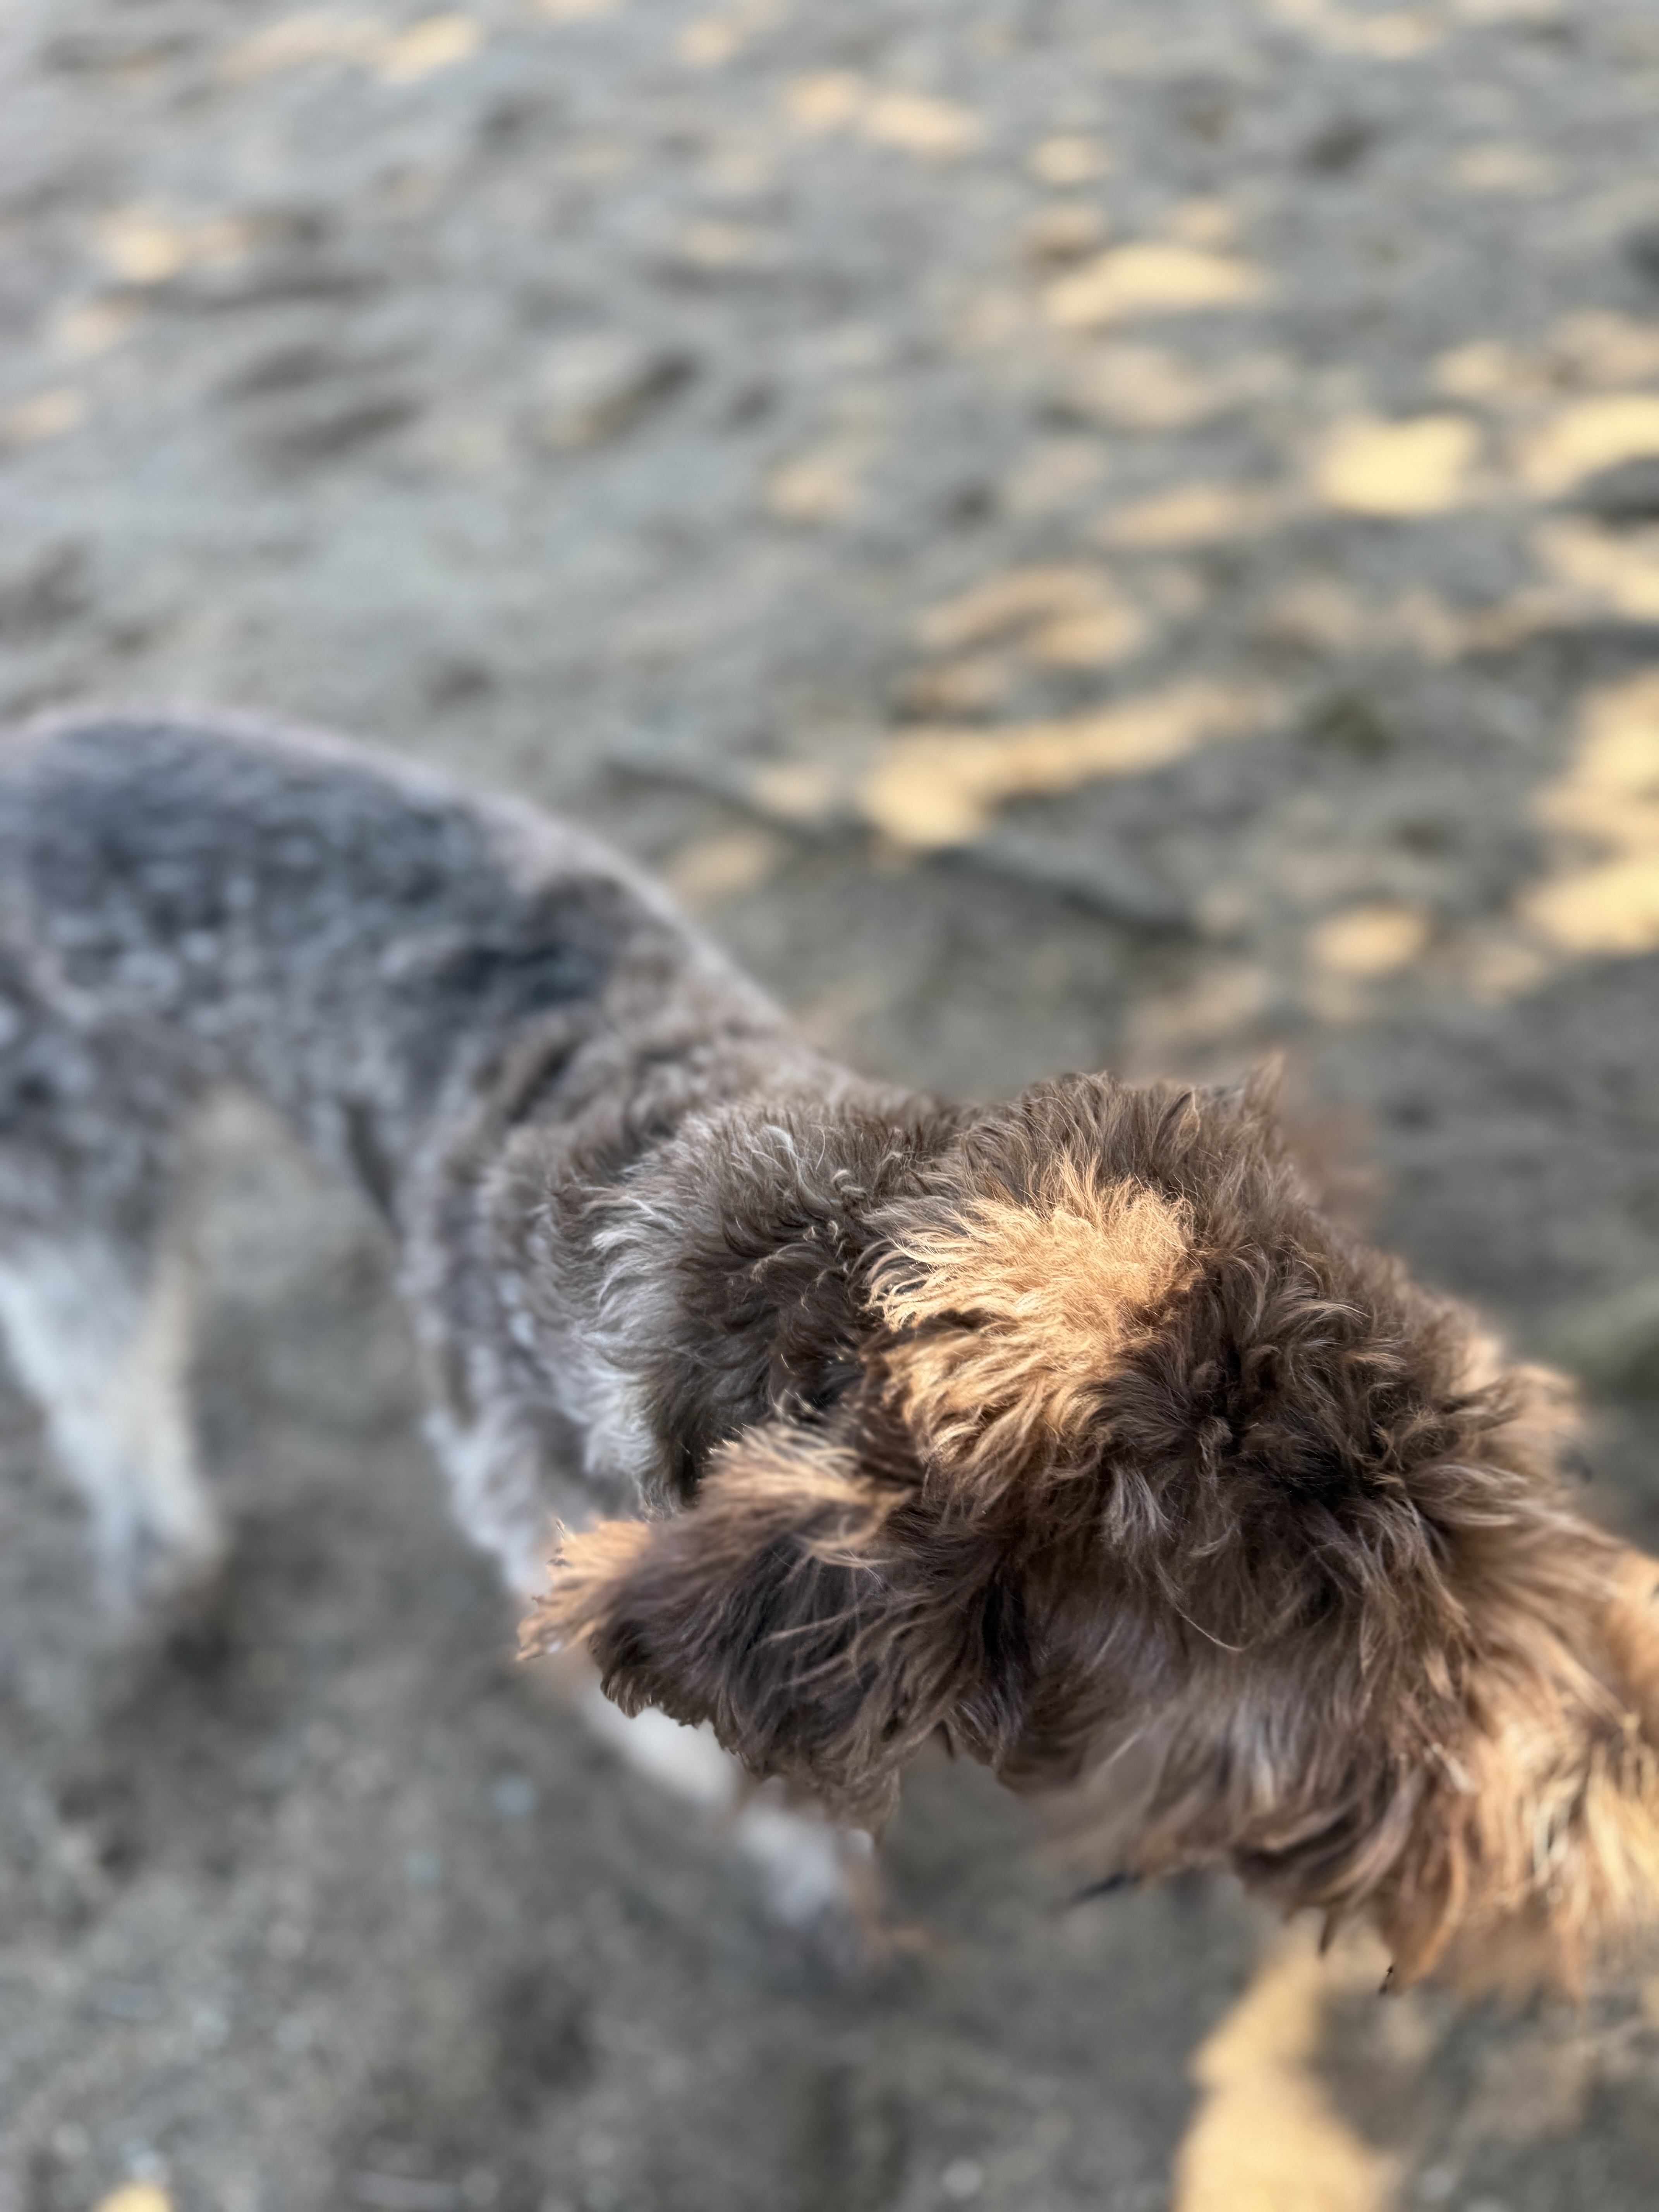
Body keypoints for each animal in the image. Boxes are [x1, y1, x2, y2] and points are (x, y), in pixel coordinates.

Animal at [0, 708, 1655, 1991]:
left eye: (1516, 1482)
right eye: (1339, 1657)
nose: (1627, 1770)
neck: (745, 1211)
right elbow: (750, 1786)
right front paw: (827, 1904)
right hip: (75, 1187)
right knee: (108, 1394)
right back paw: (168, 1577)